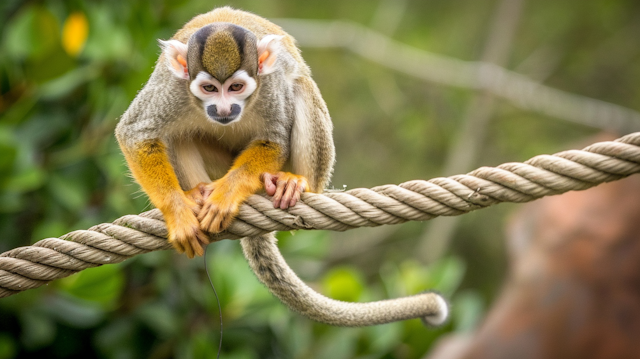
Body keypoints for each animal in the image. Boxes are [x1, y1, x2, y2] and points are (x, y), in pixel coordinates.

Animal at [115, 7, 336, 258]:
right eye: (209, 88)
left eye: (236, 87)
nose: (223, 109)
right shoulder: (171, 86)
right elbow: (134, 133)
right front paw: (178, 212)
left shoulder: (271, 84)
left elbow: (274, 141)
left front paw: (225, 196)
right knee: (175, 135)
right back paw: (196, 193)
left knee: (302, 87)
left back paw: (295, 184)